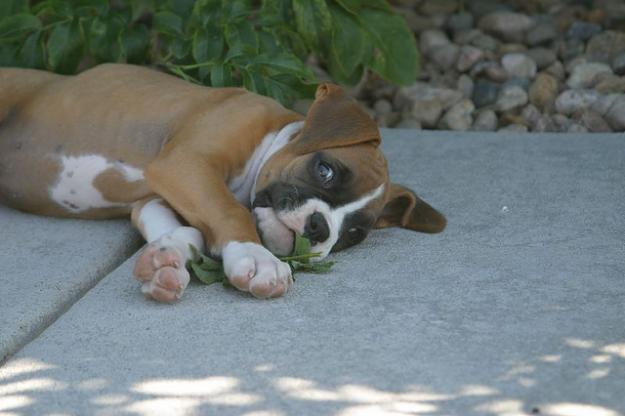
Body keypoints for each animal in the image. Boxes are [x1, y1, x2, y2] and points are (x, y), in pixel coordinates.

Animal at [1, 63, 448, 300]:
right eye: (326, 170)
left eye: (353, 234)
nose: (320, 228)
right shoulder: (185, 164)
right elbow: (230, 210)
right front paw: (255, 256)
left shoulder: (154, 198)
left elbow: (189, 230)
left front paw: (167, 258)